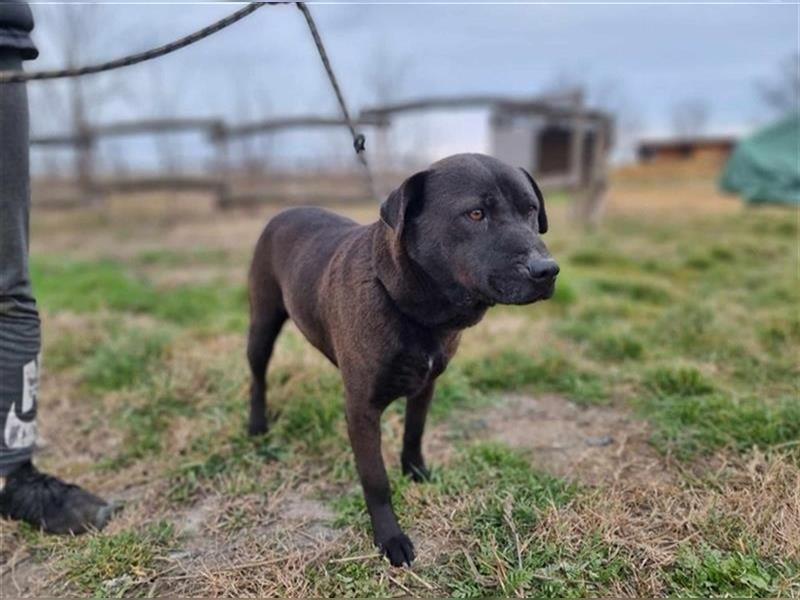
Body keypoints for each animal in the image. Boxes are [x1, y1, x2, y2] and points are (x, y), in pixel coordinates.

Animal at [247, 152, 560, 564]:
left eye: (531, 210)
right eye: (476, 214)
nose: (547, 270)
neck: (410, 307)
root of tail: (285, 211)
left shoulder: (426, 387)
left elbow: (415, 432)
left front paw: (416, 473)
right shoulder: (362, 410)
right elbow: (375, 479)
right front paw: (390, 537)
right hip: (261, 326)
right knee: (257, 377)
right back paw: (256, 425)